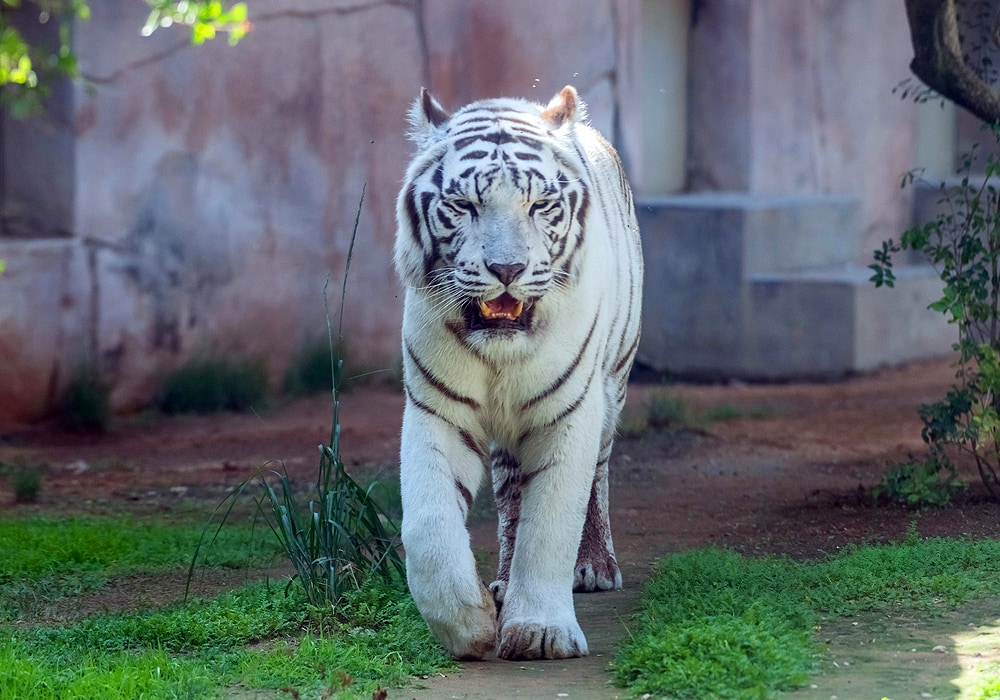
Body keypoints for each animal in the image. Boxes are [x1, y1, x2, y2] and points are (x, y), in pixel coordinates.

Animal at [392, 85, 640, 660]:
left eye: (539, 205)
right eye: (464, 205)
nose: (507, 270)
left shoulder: (569, 410)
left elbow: (550, 522)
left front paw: (540, 633)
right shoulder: (437, 409)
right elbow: (428, 524)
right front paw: (468, 624)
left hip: (612, 387)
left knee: (596, 477)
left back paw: (594, 566)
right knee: (509, 500)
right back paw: (503, 583)